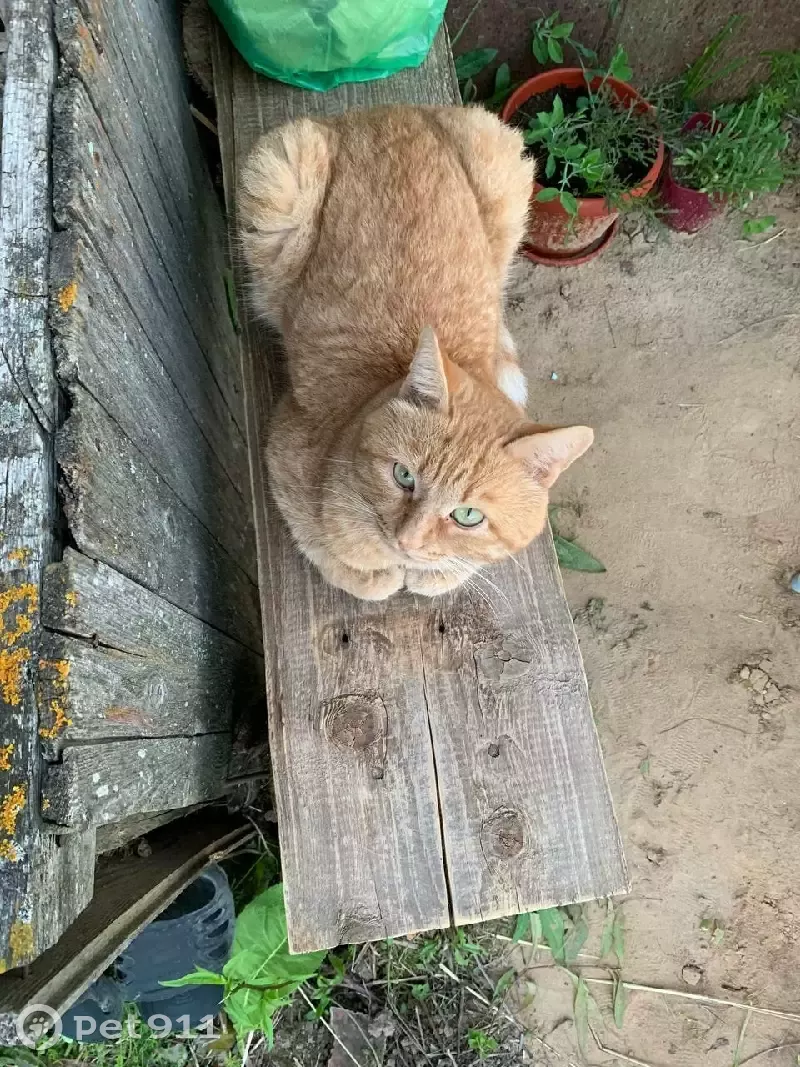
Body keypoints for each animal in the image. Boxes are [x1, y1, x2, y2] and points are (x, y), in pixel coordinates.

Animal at [240, 105, 593, 600]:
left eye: (468, 516)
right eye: (403, 476)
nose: (407, 541)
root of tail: (384, 110)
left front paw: (437, 570)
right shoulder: (282, 454)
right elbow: (326, 549)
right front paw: (373, 573)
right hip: (279, 179)